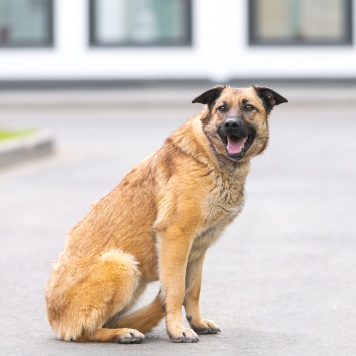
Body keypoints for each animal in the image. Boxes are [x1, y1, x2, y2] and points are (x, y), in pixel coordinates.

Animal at [46, 85, 288, 344]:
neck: (211, 156)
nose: (230, 125)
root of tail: (54, 320)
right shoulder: (176, 238)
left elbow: (193, 290)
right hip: (123, 265)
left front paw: (197, 322)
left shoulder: (198, 249)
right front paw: (177, 329)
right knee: (85, 331)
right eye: (222, 108)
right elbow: (176, 290)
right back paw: (122, 334)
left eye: (248, 107)